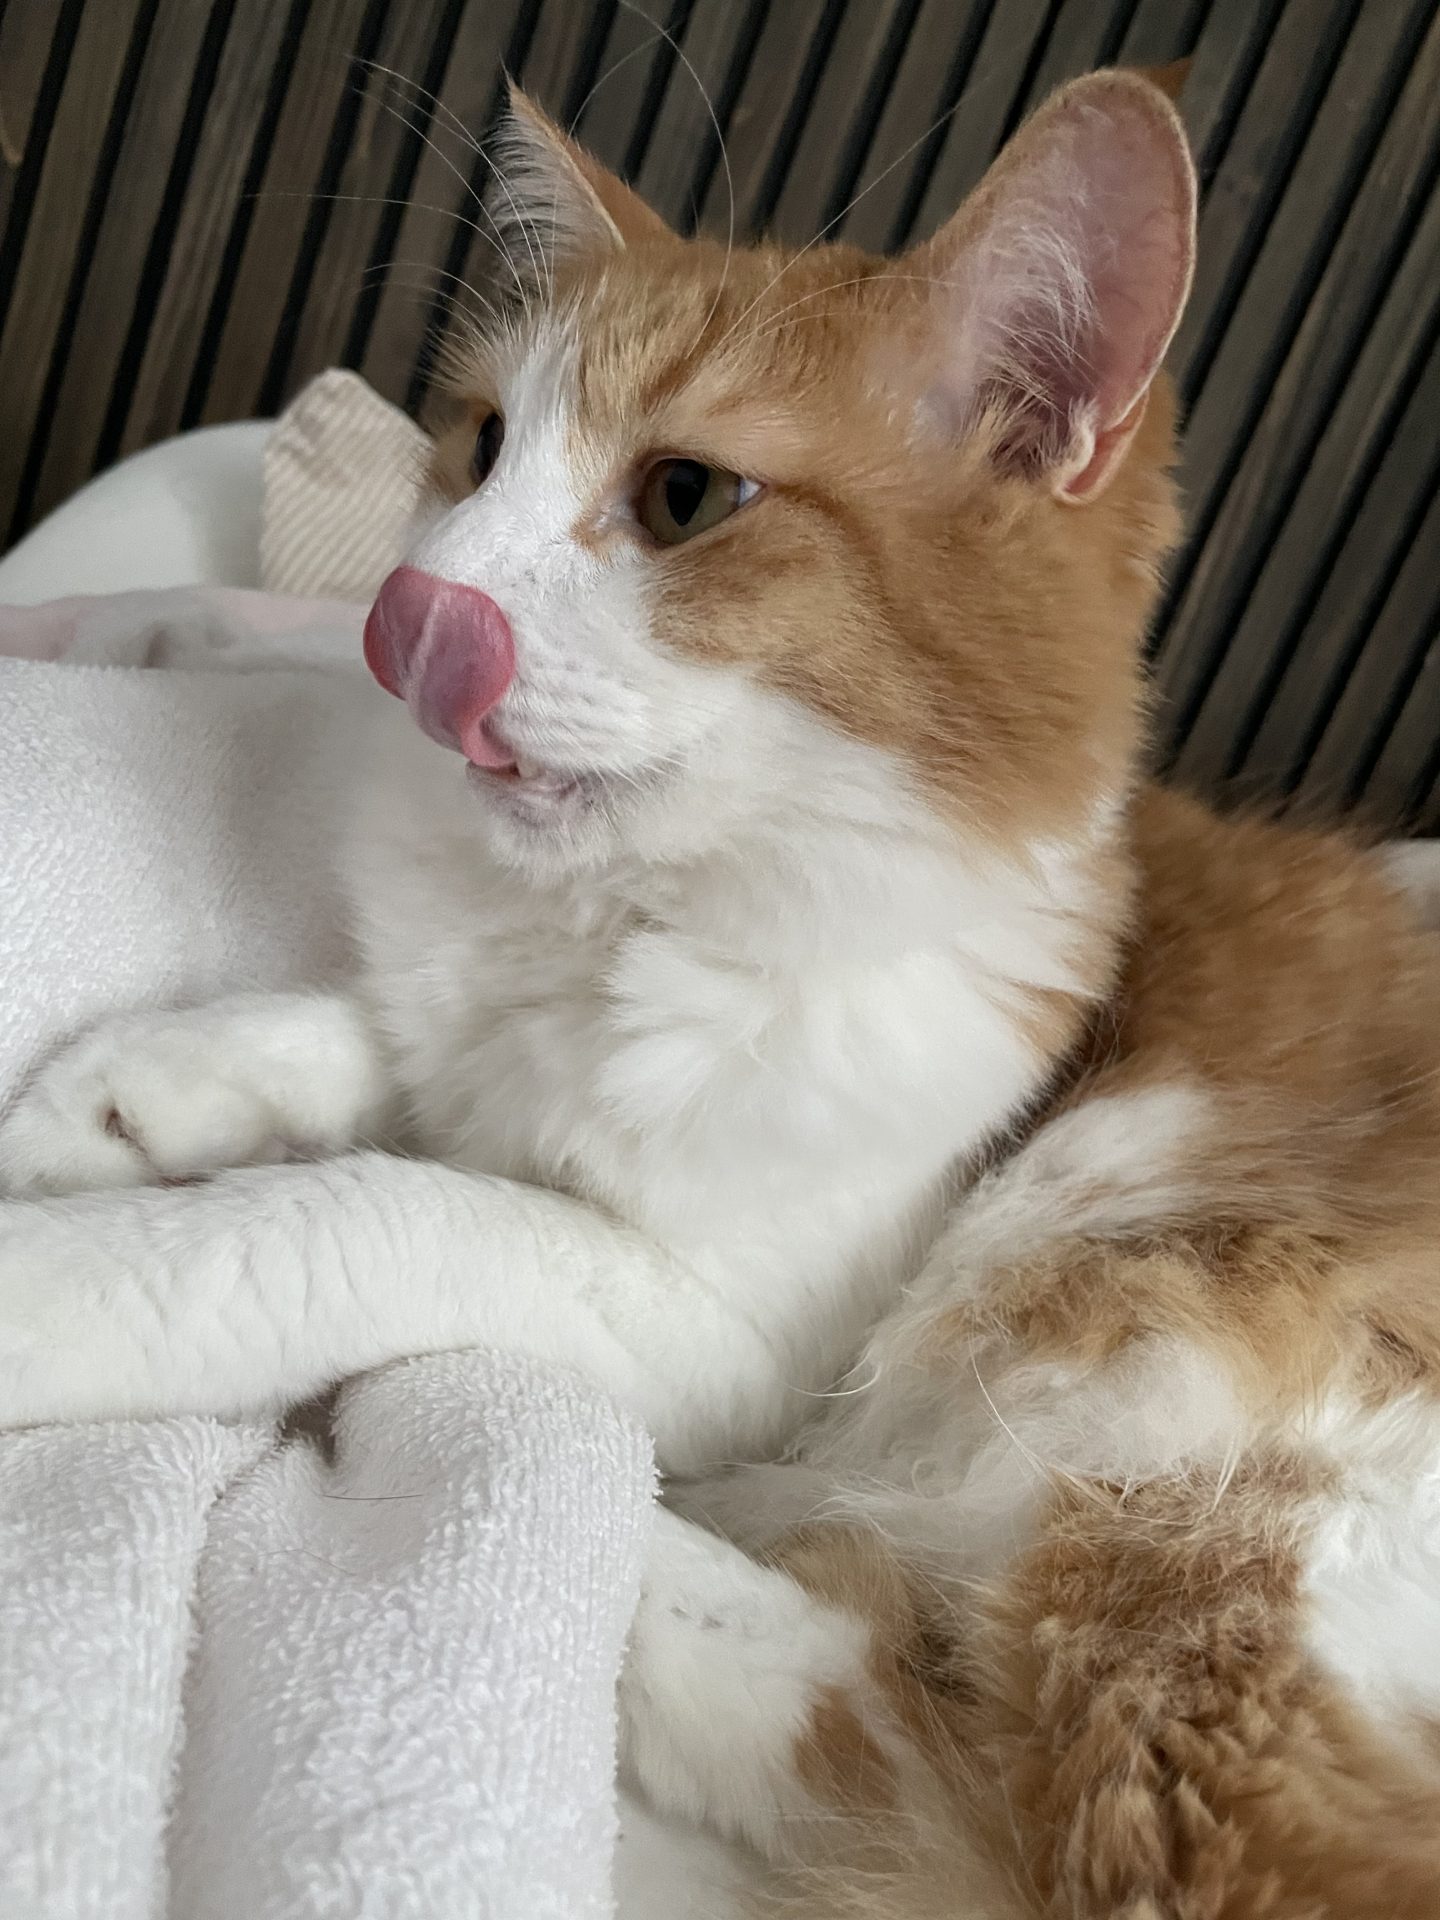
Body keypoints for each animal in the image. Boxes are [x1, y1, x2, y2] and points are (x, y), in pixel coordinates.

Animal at [4, 69, 1440, 1916]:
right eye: (481, 447)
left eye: (686, 497)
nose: (404, 615)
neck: (630, 910)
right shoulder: (481, 1046)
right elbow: (383, 1049)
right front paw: (134, 1093)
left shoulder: (739, 1320)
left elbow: (354, 1219)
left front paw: (65, 1268)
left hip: (1213, 1483)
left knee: (986, 1776)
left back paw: (636, 1551)